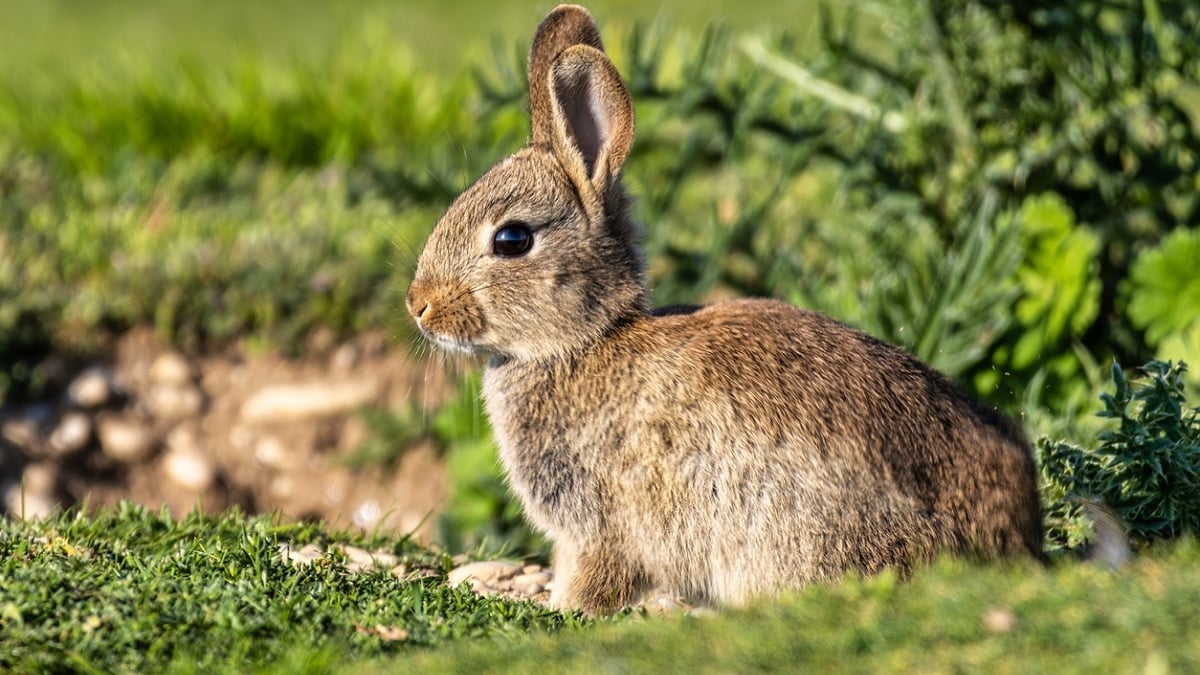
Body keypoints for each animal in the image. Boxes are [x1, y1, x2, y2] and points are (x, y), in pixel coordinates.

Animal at [408, 6, 1046, 614]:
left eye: (512, 239)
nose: (419, 305)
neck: (587, 340)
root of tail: (1014, 540)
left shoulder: (604, 529)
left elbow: (595, 579)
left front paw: (566, 609)